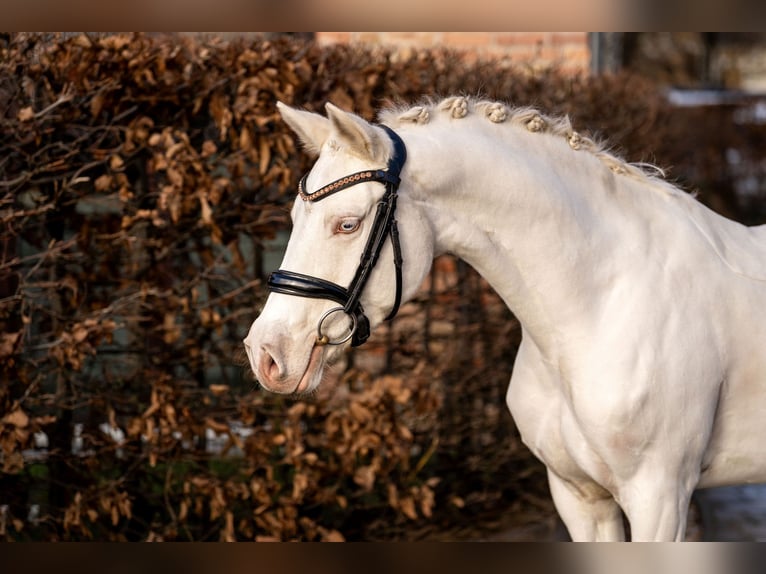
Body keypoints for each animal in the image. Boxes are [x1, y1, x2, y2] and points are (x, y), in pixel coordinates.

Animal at [243, 97, 766, 544]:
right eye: (294, 217)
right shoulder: (579, 497)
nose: (266, 353)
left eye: (347, 224)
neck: (600, 308)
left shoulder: (659, 499)